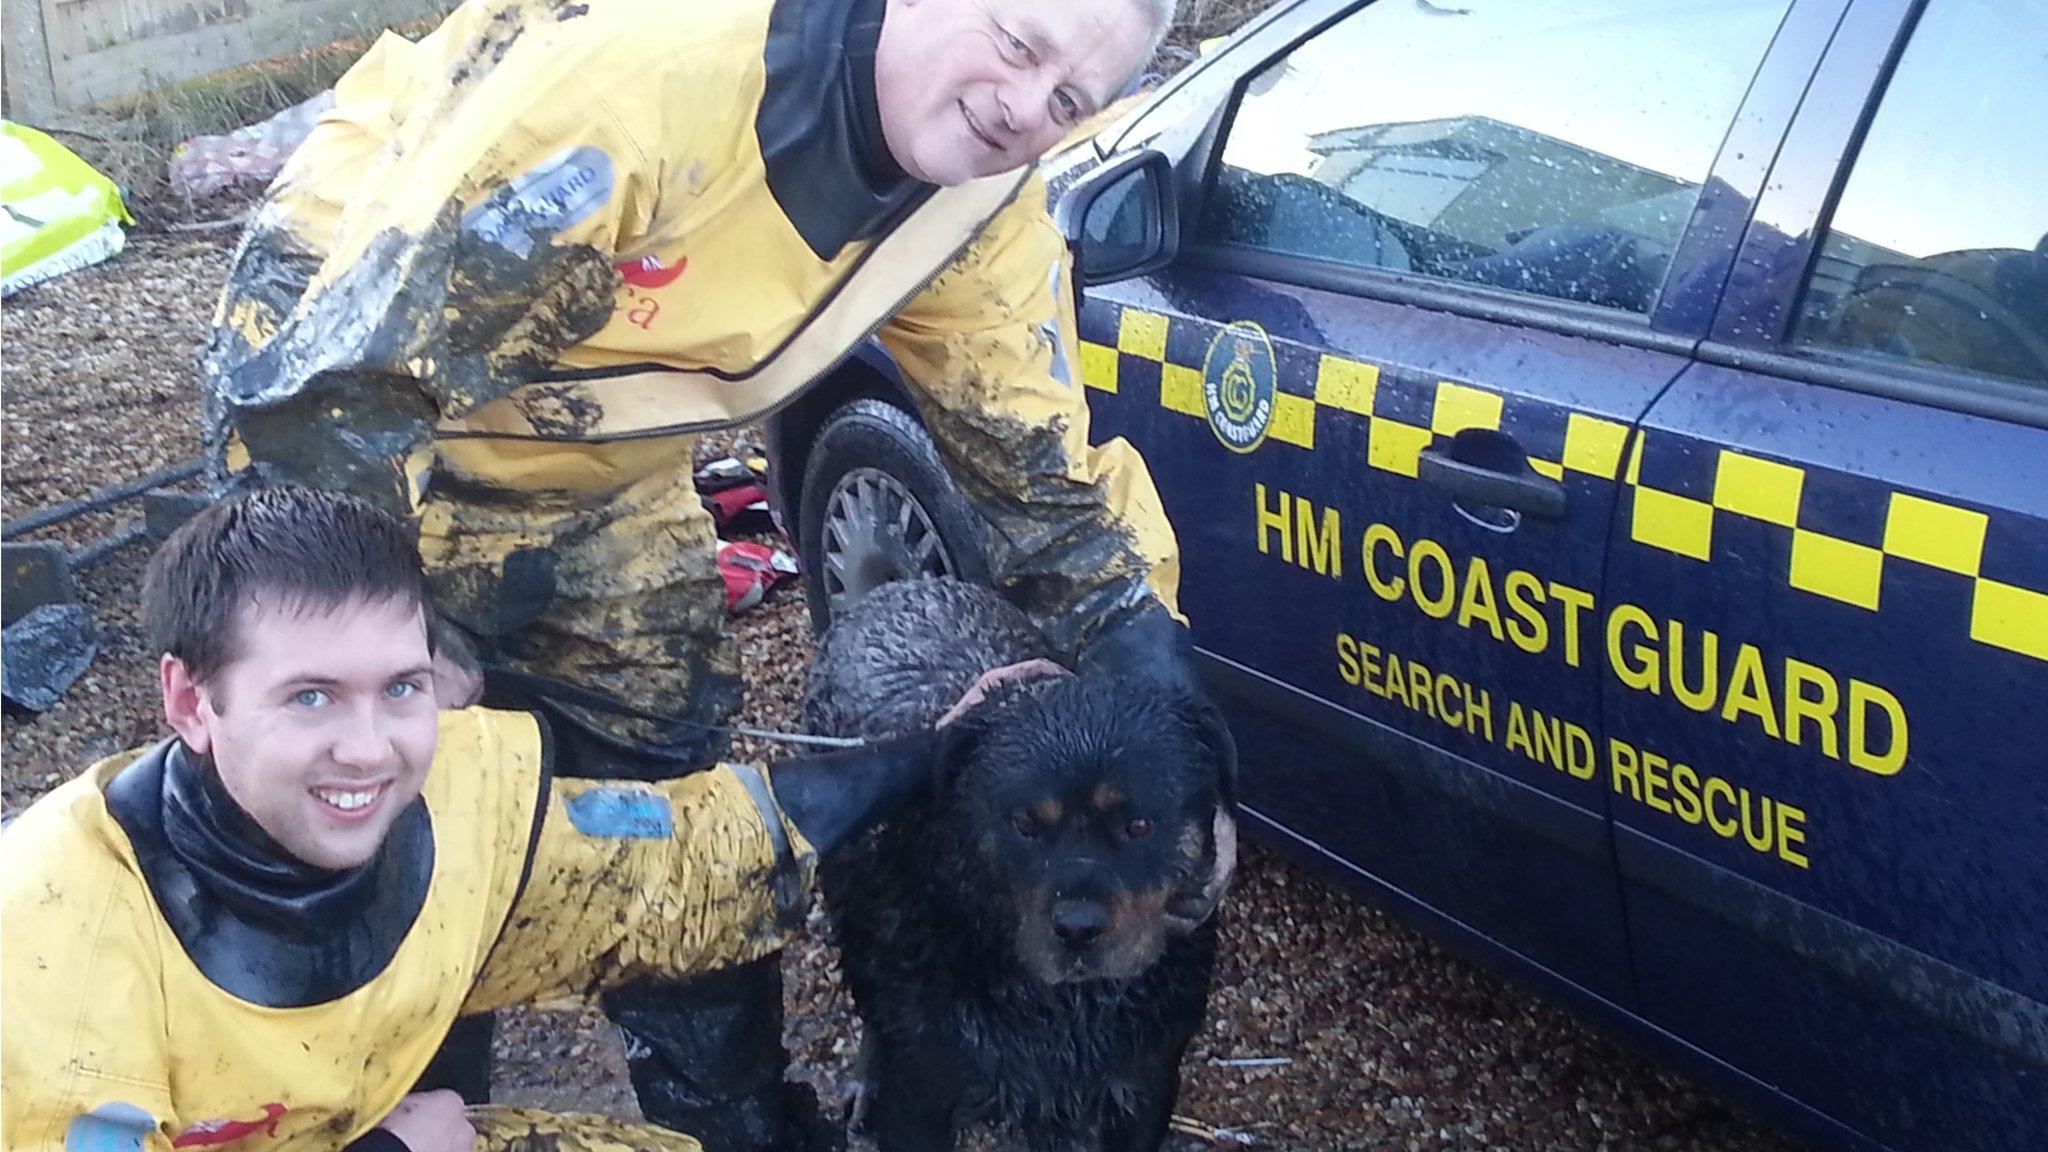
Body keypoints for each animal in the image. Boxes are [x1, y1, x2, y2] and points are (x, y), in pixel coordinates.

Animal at [798, 582, 1228, 1147]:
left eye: (1139, 826)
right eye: (1024, 823)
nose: (1078, 927)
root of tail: (904, 587)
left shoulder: (1148, 1079)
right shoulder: (921, 1094)